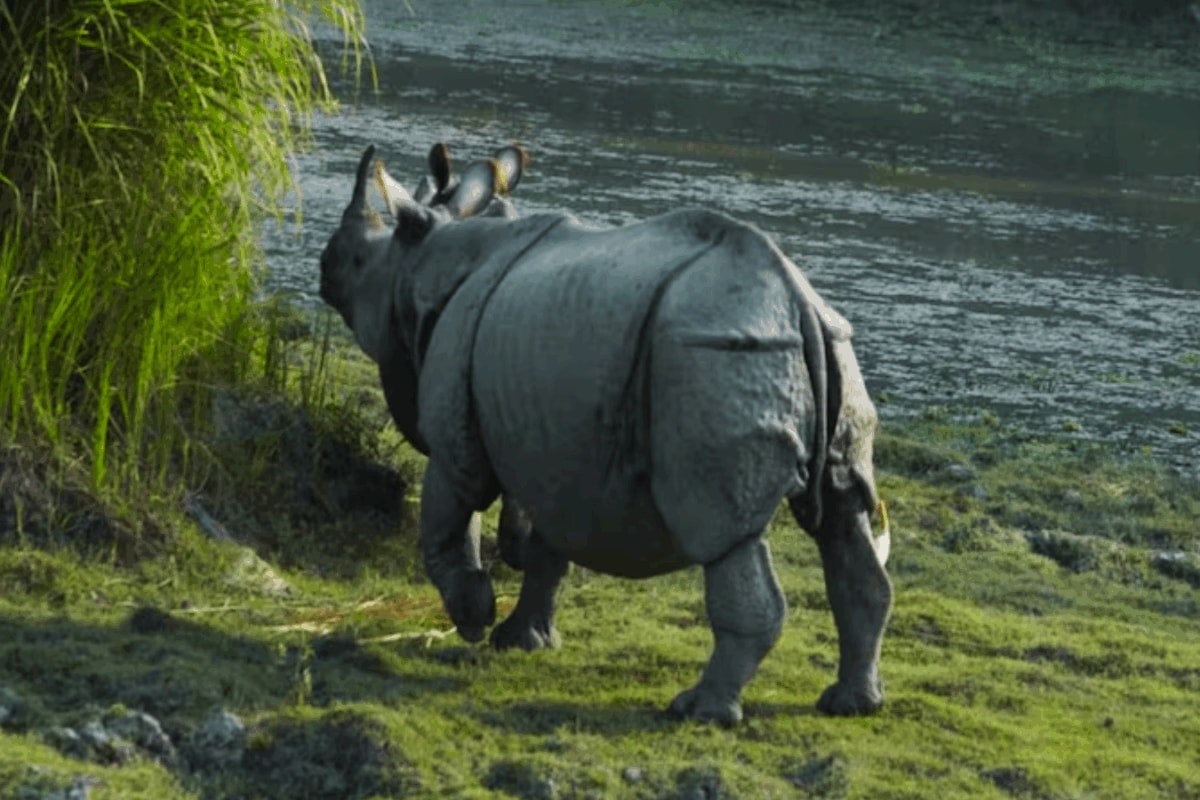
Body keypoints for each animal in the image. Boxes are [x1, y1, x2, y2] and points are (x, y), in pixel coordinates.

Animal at [319, 143, 893, 724]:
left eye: (357, 260)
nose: (323, 270)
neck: (422, 263)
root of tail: (796, 301)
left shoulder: (456, 441)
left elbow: (446, 526)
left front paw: (475, 620)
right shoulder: (553, 443)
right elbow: (546, 551)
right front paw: (520, 640)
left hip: (714, 357)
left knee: (724, 535)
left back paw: (699, 711)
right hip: (828, 348)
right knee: (845, 515)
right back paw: (851, 703)